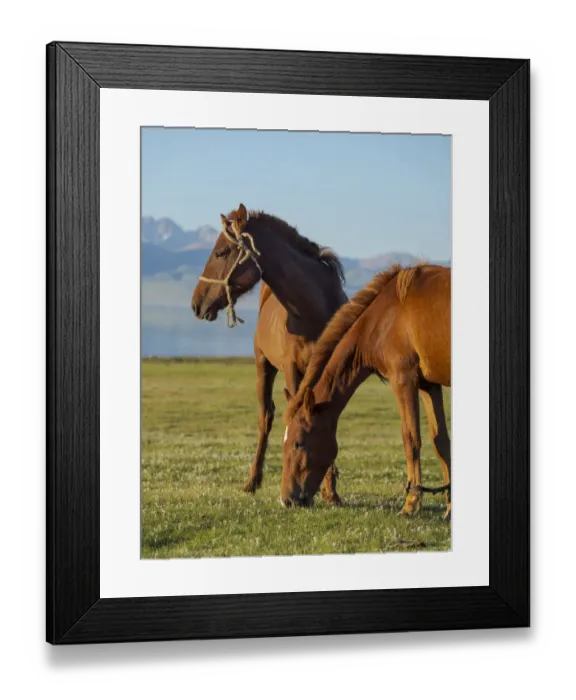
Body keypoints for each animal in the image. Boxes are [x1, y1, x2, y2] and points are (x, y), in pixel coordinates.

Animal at [191, 204, 348, 504]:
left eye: (221, 252)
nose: (196, 303)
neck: (313, 308)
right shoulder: (292, 370)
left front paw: (330, 491)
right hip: (263, 367)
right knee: (266, 419)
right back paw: (252, 481)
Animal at [281, 264, 452, 520]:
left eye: (298, 443)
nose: (287, 500)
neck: (386, 317)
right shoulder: (428, 385)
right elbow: (441, 442)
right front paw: (450, 509)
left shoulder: (404, 380)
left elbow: (410, 438)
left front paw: (411, 504)